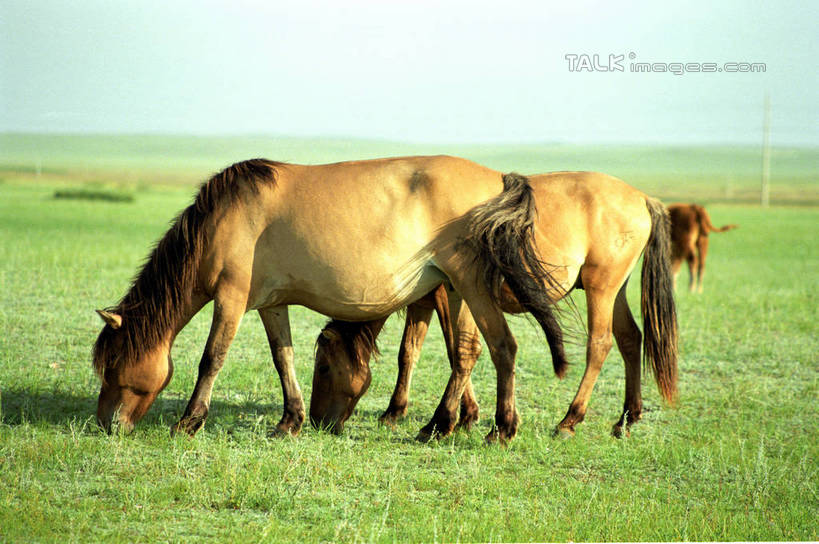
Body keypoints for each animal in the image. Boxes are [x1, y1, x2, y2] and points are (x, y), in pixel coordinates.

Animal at [93, 155, 568, 444]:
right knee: (466, 353)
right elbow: (282, 357)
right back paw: (439, 425)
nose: (103, 424)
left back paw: (500, 429)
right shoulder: (271, 304)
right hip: (454, 289)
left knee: (502, 347)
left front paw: (189, 421)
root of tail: (498, 179)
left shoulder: (230, 298)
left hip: (470, 285)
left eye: (112, 366)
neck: (225, 217)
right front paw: (290, 421)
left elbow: (212, 358)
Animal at [310, 172, 680, 440]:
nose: (316, 420)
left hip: (600, 290)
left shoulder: (450, 297)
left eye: (323, 368)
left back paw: (569, 420)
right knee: (630, 339)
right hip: (615, 292)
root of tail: (643, 198)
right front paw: (399, 411)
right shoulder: (424, 303)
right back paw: (627, 419)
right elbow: (410, 352)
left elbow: (455, 350)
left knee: (600, 345)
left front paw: (460, 416)